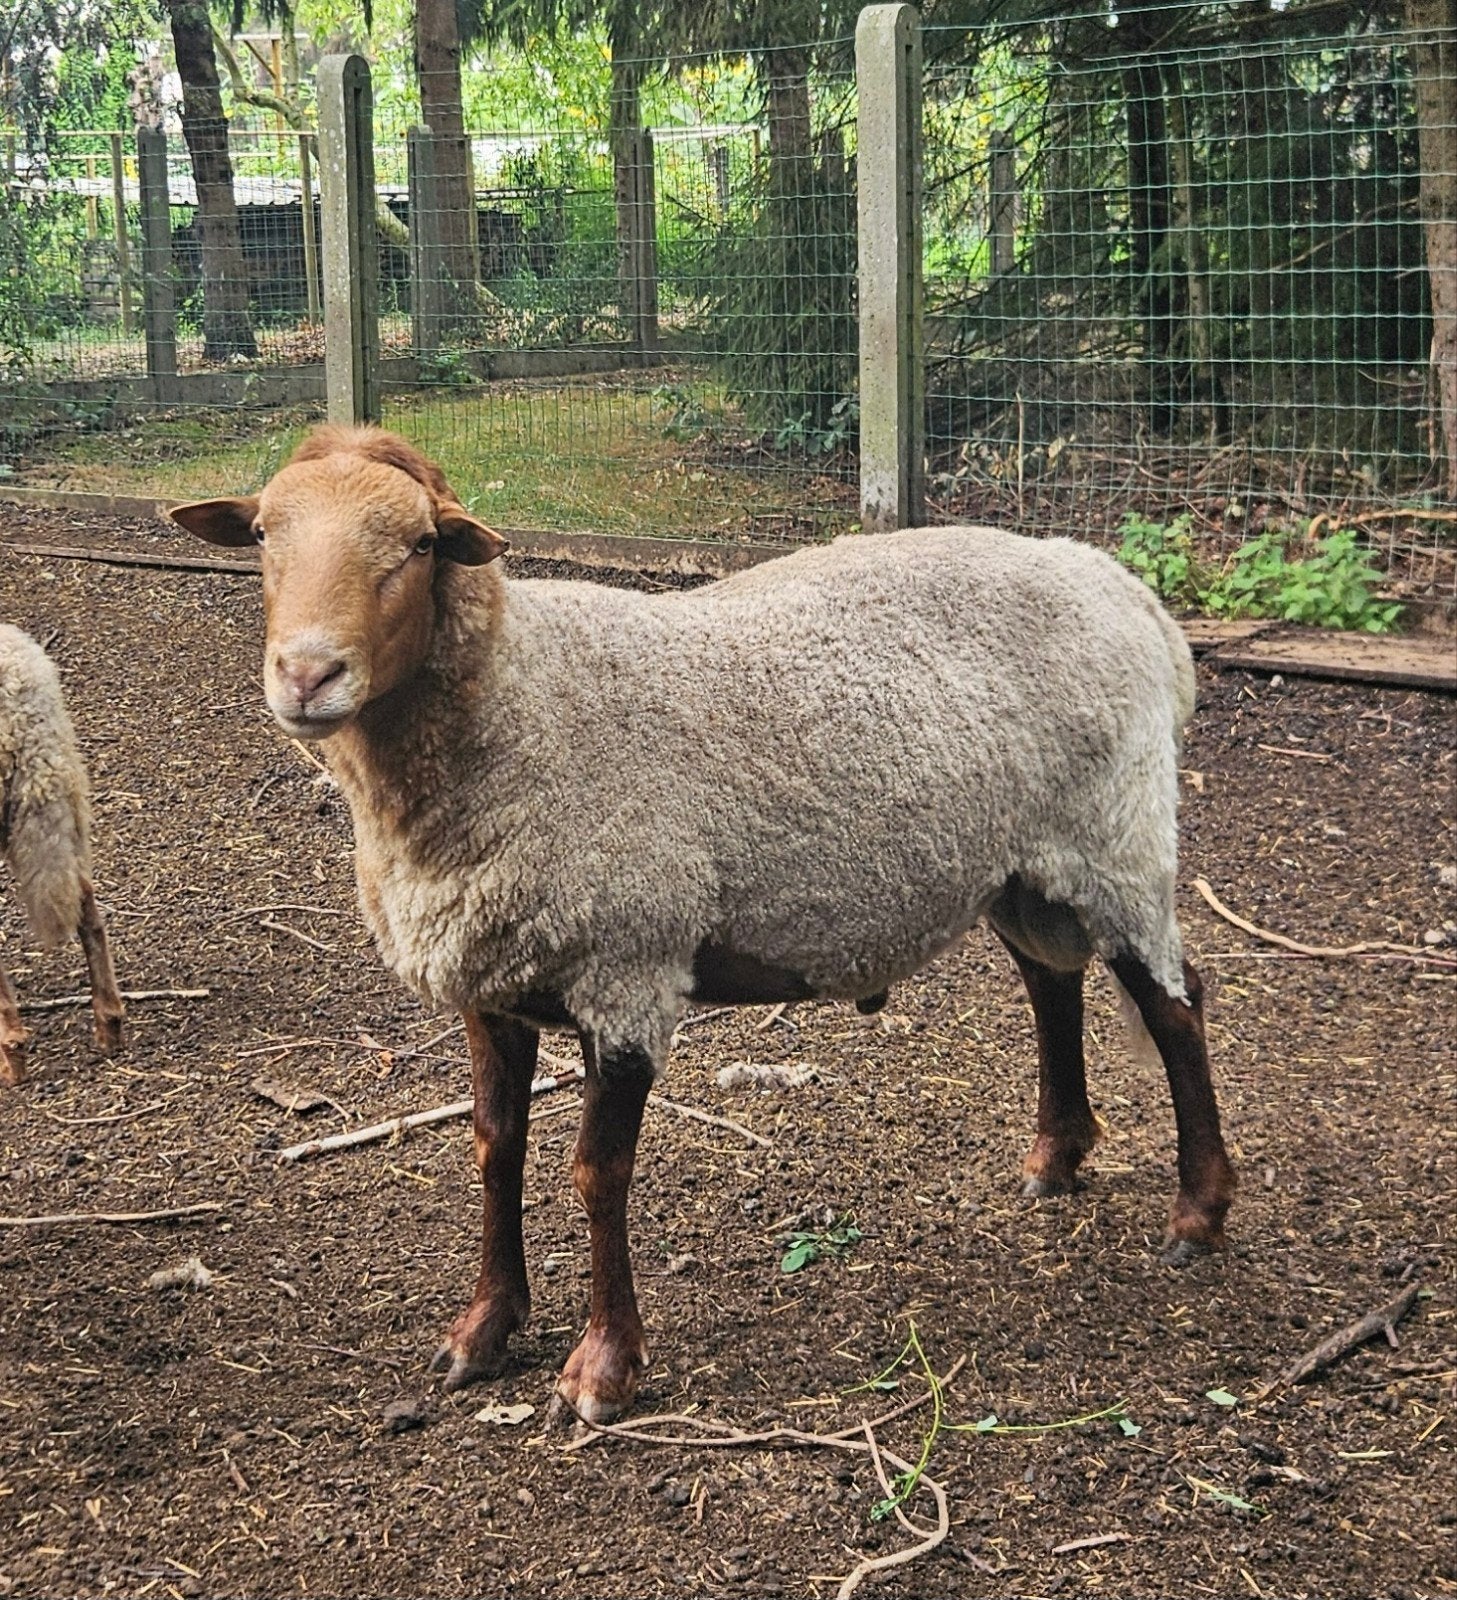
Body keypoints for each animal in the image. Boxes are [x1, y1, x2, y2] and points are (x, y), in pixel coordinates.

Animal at [170, 425, 1235, 1424]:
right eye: (261, 535)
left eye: (423, 545)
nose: (308, 675)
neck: (518, 701)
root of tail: (1127, 593)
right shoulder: (492, 982)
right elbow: (493, 1148)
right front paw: (482, 1330)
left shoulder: (626, 973)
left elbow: (596, 1175)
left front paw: (602, 1369)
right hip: (1027, 860)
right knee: (1052, 983)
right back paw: (1055, 1159)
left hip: (1116, 830)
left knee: (1175, 1007)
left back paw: (1196, 1215)